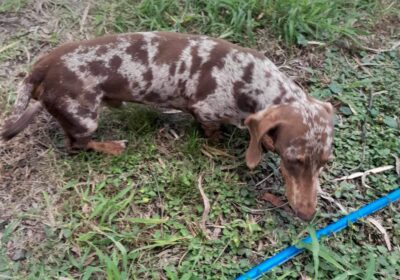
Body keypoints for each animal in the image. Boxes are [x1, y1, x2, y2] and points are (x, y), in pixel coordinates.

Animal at [1, 32, 332, 221]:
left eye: (325, 162)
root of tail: (41, 66)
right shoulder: (207, 112)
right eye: (293, 160)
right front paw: (220, 147)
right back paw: (112, 146)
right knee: (76, 144)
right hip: (85, 117)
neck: (251, 79)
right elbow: (212, 133)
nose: (307, 216)